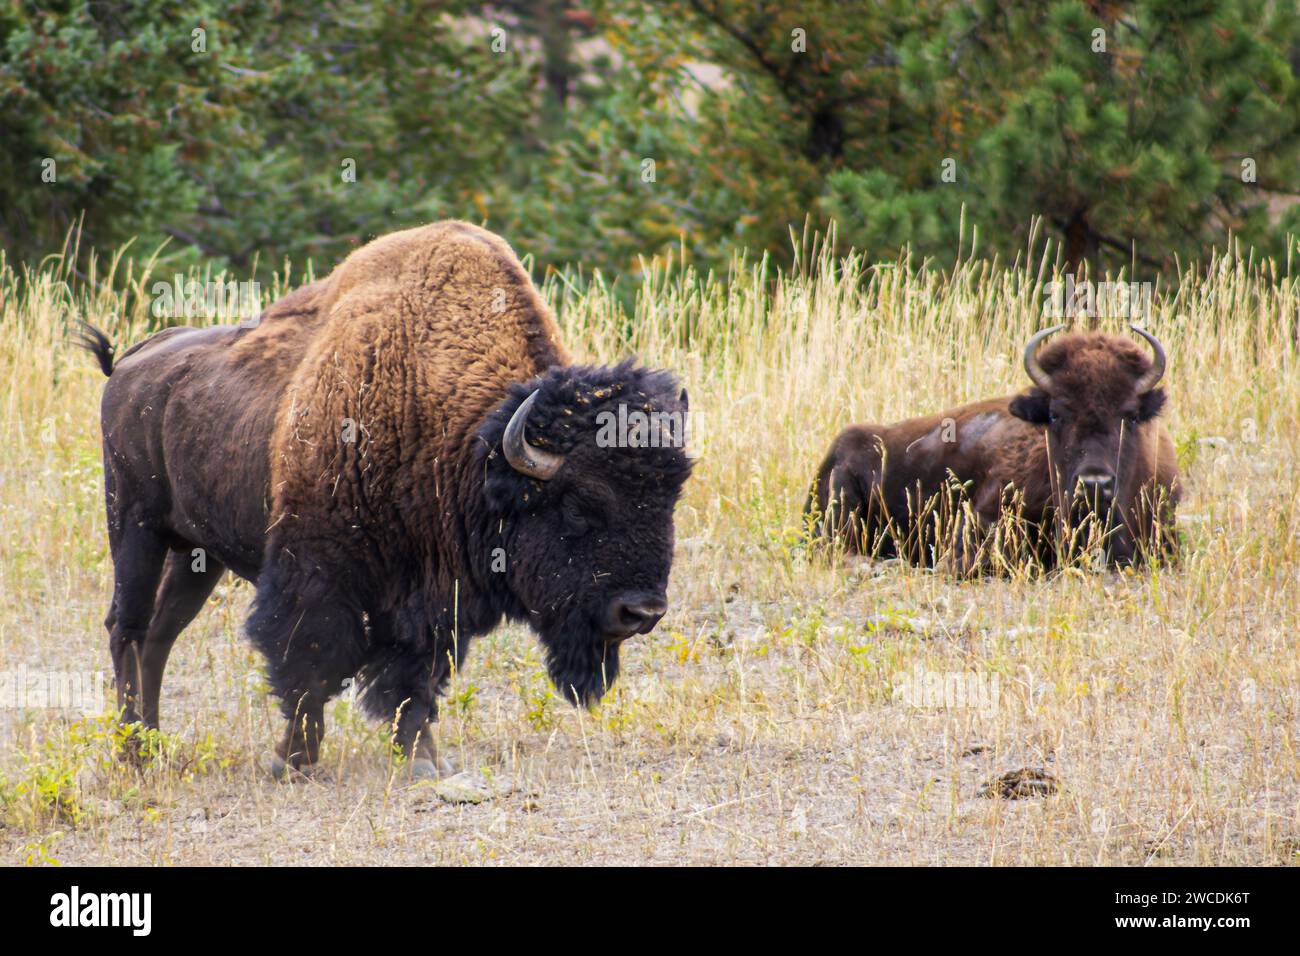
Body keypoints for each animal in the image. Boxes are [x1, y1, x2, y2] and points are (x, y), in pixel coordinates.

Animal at [78, 222, 691, 780]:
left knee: (160, 634)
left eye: (670, 502)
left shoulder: (432, 594)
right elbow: (311, 663)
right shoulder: (317, 574)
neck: (466, 441)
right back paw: (133, 754)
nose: (642, 613)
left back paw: (154, 744)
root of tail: (128, 364)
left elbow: (414, 676)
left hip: (195, 554)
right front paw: (293, 762)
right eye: (581, 505)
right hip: (133, 524)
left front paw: (422, 760)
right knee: (127, 627)